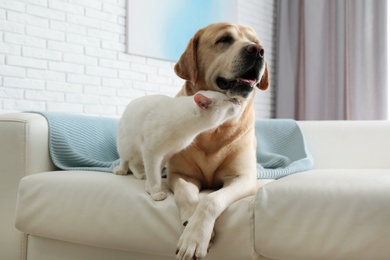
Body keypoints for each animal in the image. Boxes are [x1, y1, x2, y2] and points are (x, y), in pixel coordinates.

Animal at [113, 90, 241, 202]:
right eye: (229, 100)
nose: (238, 100)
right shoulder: (152, 153)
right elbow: (154, 176)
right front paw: (156, 193)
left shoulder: (166, 154)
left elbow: (156, 173)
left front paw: (148, 188)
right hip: (126, 145)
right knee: (125, 159)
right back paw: (121, 170)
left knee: (133, 162)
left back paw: (140, 174)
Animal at [171, 22, 268, 260]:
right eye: (224, 39)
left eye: (256, 42)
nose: (258, 51)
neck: (214, 127)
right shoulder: (180, 174)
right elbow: (186, 192)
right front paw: (190, 220)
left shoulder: (242, 178)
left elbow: (210, 199)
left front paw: (195, 237)